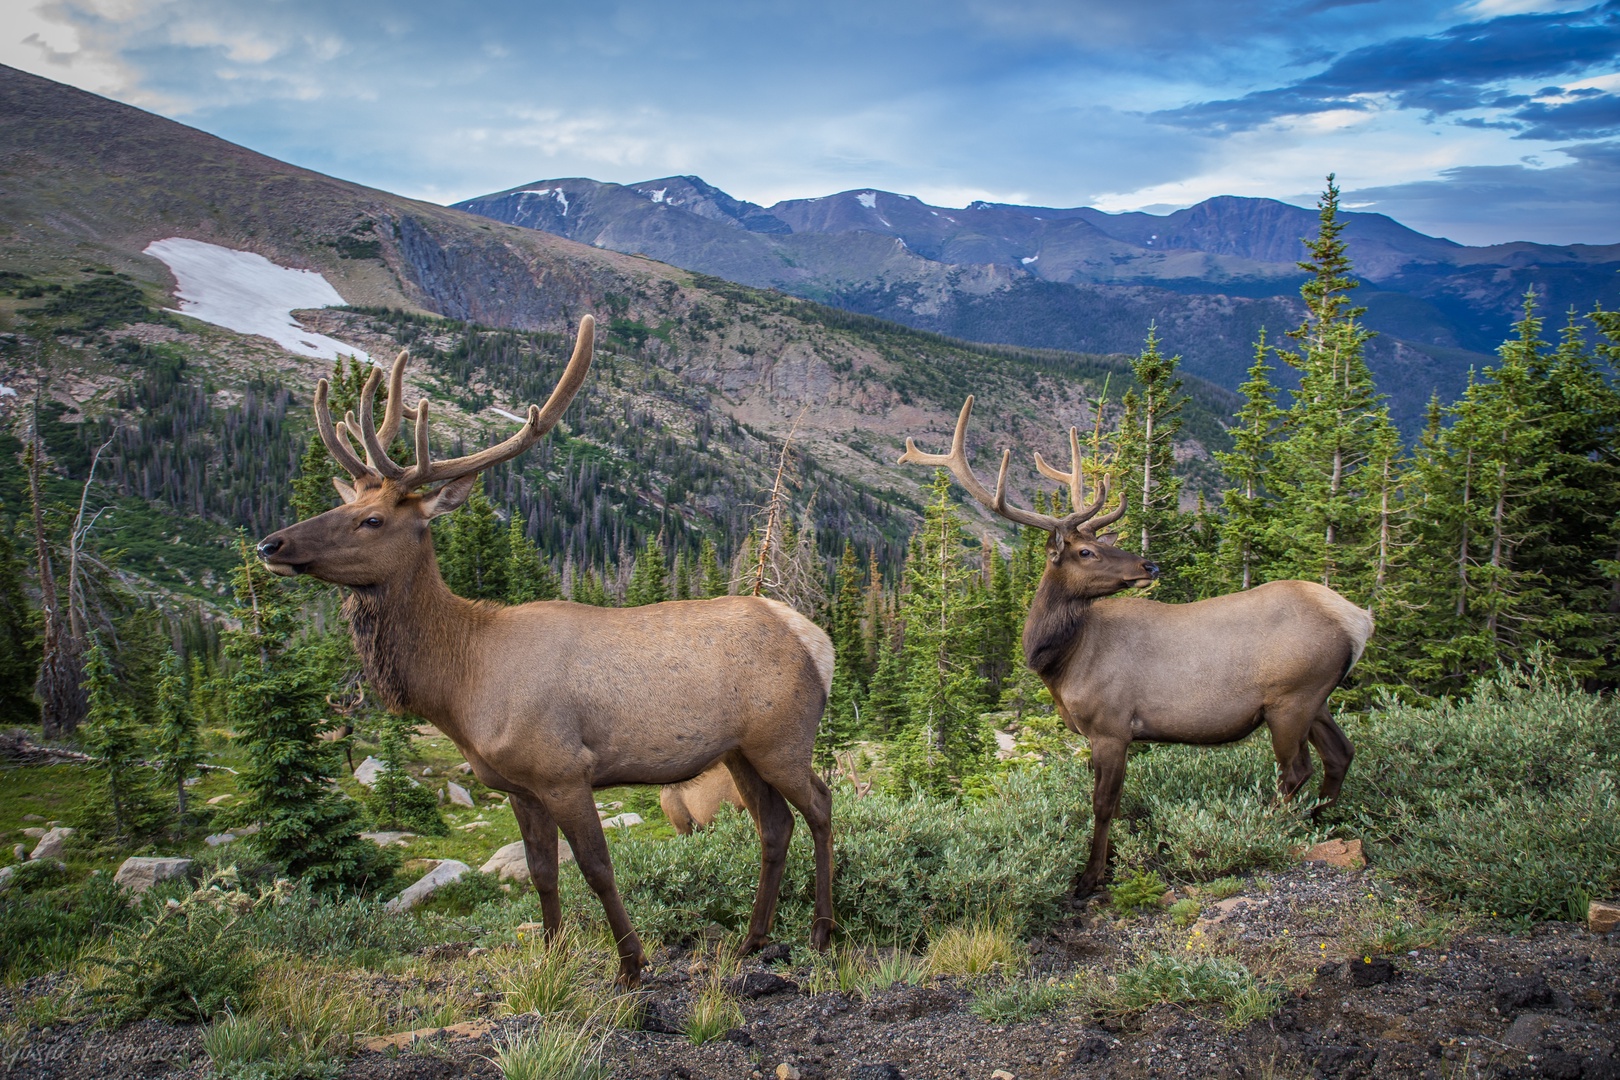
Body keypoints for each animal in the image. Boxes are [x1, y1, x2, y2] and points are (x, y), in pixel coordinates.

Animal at [256, 316, 836, 986]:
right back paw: (752, 938)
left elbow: (597, 868)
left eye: (372, 519)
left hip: (783, 737)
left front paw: (631, 965)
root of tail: (816, 640)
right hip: (740, 752)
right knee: (776, 826)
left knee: (821, 806)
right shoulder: (518, 784)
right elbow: (541, 873)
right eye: (345, 502)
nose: (270, 544)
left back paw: (822, 931)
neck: (462, 686)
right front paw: (552, 959)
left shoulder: (563, 769)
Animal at [899, 397, 1373, 900]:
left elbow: (1104, 803)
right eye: (1087, 551)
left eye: (1097, 543)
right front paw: (1112, 862)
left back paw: (1271, 829)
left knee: (1296, 769)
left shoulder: (1112, 726)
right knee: (1341, 753)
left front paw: (1090, 877)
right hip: (1317, 699)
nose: (1150, 564)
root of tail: (1358, 619)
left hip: (1290, 698)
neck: (1062, 663)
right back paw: (1320, 820)